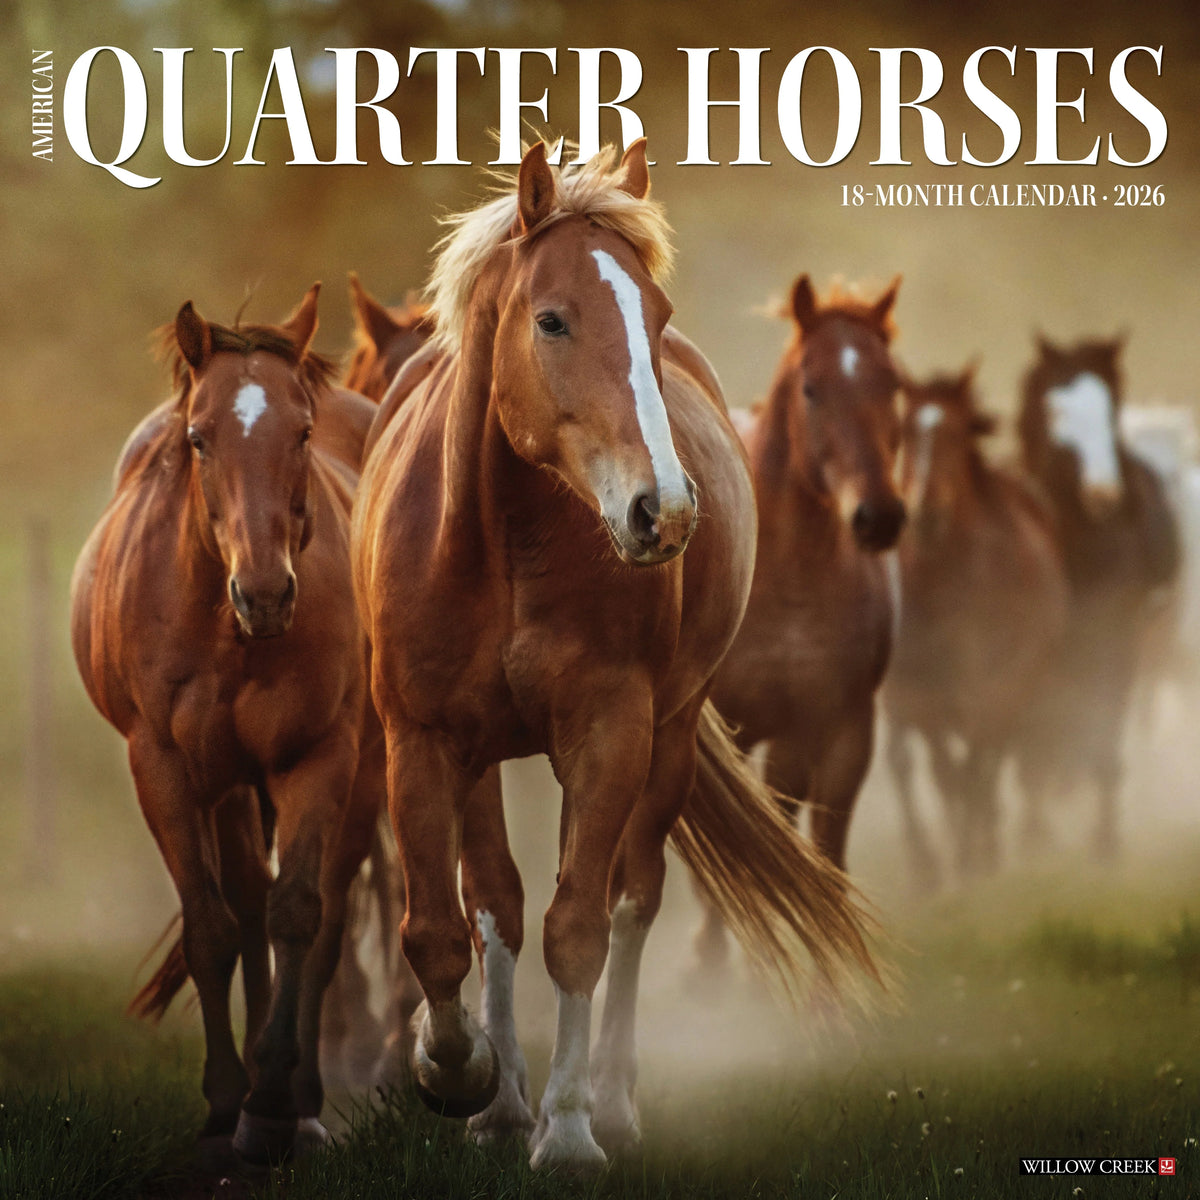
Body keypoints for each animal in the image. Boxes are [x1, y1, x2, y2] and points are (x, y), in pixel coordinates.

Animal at [70, 286, 384, 1162]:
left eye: (302, 432)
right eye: (200, 439)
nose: (267, 594)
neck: (226, 627)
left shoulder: (320, 754)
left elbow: (301, 911)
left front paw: (275, 1099)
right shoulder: (164, 766)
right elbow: (212, 925)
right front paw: (223, 1096)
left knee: (318, 911)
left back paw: (299, 1097)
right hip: (230, 784)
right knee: (242, 898)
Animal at [884, 366, 1069, 885]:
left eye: (957, 433)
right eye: (904, 431)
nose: (926, 512)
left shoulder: (1000, 686)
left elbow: (978, 769)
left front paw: (979, 855)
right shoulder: (920, 696)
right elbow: (946, 774)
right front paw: (956, 861)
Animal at [1014, 334, 1180, 857]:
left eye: (1110, 411)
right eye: (1054, 410)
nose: (1104, 494)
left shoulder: (1120, 635)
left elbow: (1106, 722)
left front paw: (1105, 838)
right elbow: (1037, 731)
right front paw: (1035, 829)